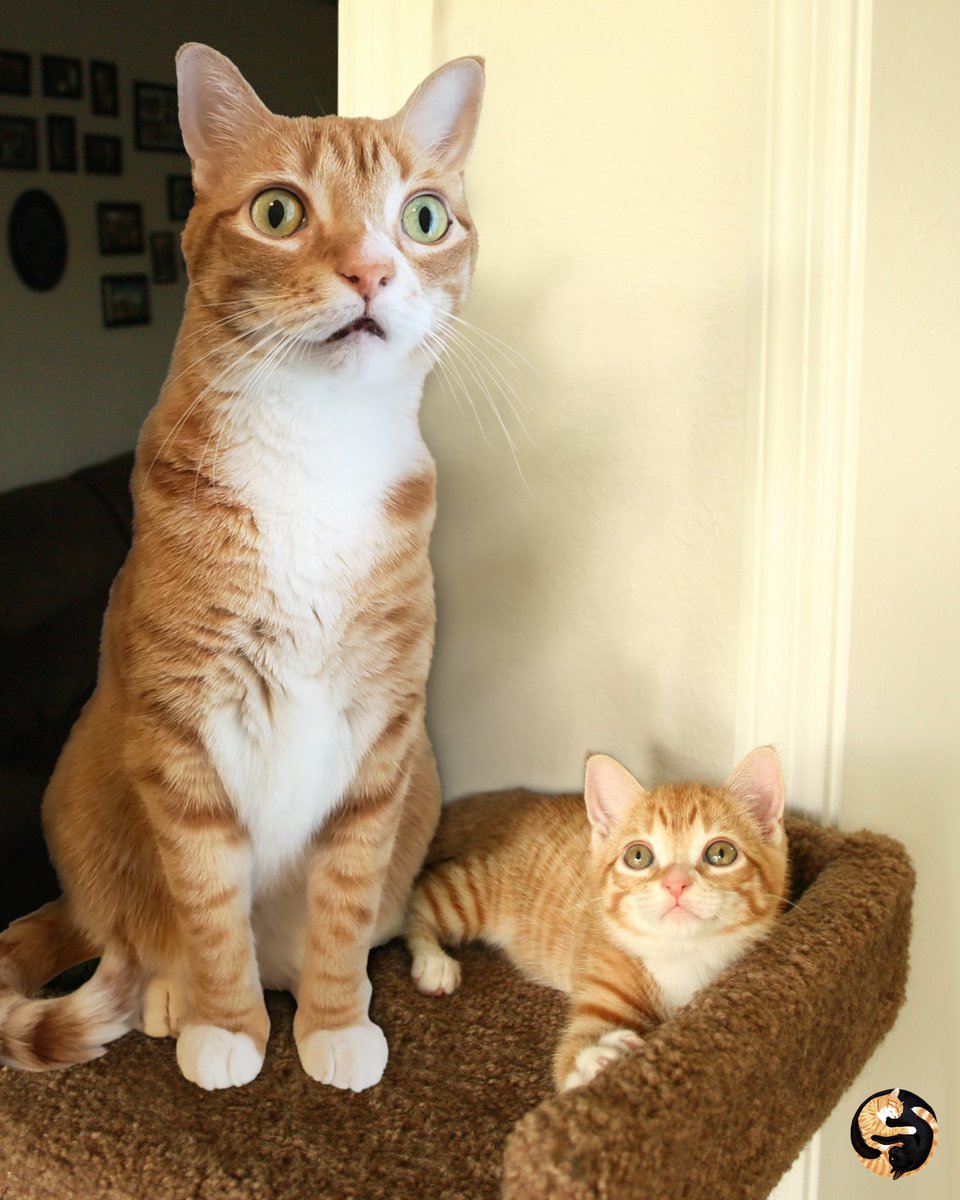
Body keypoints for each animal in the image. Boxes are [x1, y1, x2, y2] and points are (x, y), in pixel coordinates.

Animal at [0, 42, 484, 1094]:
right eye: (277, 212)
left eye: (423, 217)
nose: (373, 270)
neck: (317, 454)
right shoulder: (180, 730)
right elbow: (209, 909)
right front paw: (225, 1027)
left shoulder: (385, 736)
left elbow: (347, 901)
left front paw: (336, 1023)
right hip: (83, 786)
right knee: (137, 936)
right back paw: (168, 997)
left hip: (424, 782)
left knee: (386, 910)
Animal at [405, 744, 787, 1094]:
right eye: (638, 856)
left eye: (721, 853)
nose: (675, 883)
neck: (680, 956)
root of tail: (516, 804)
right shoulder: (602, 985)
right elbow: (567, 1065)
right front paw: (596, 1061)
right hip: (477, 892)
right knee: (413, 895)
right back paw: (433, 961)